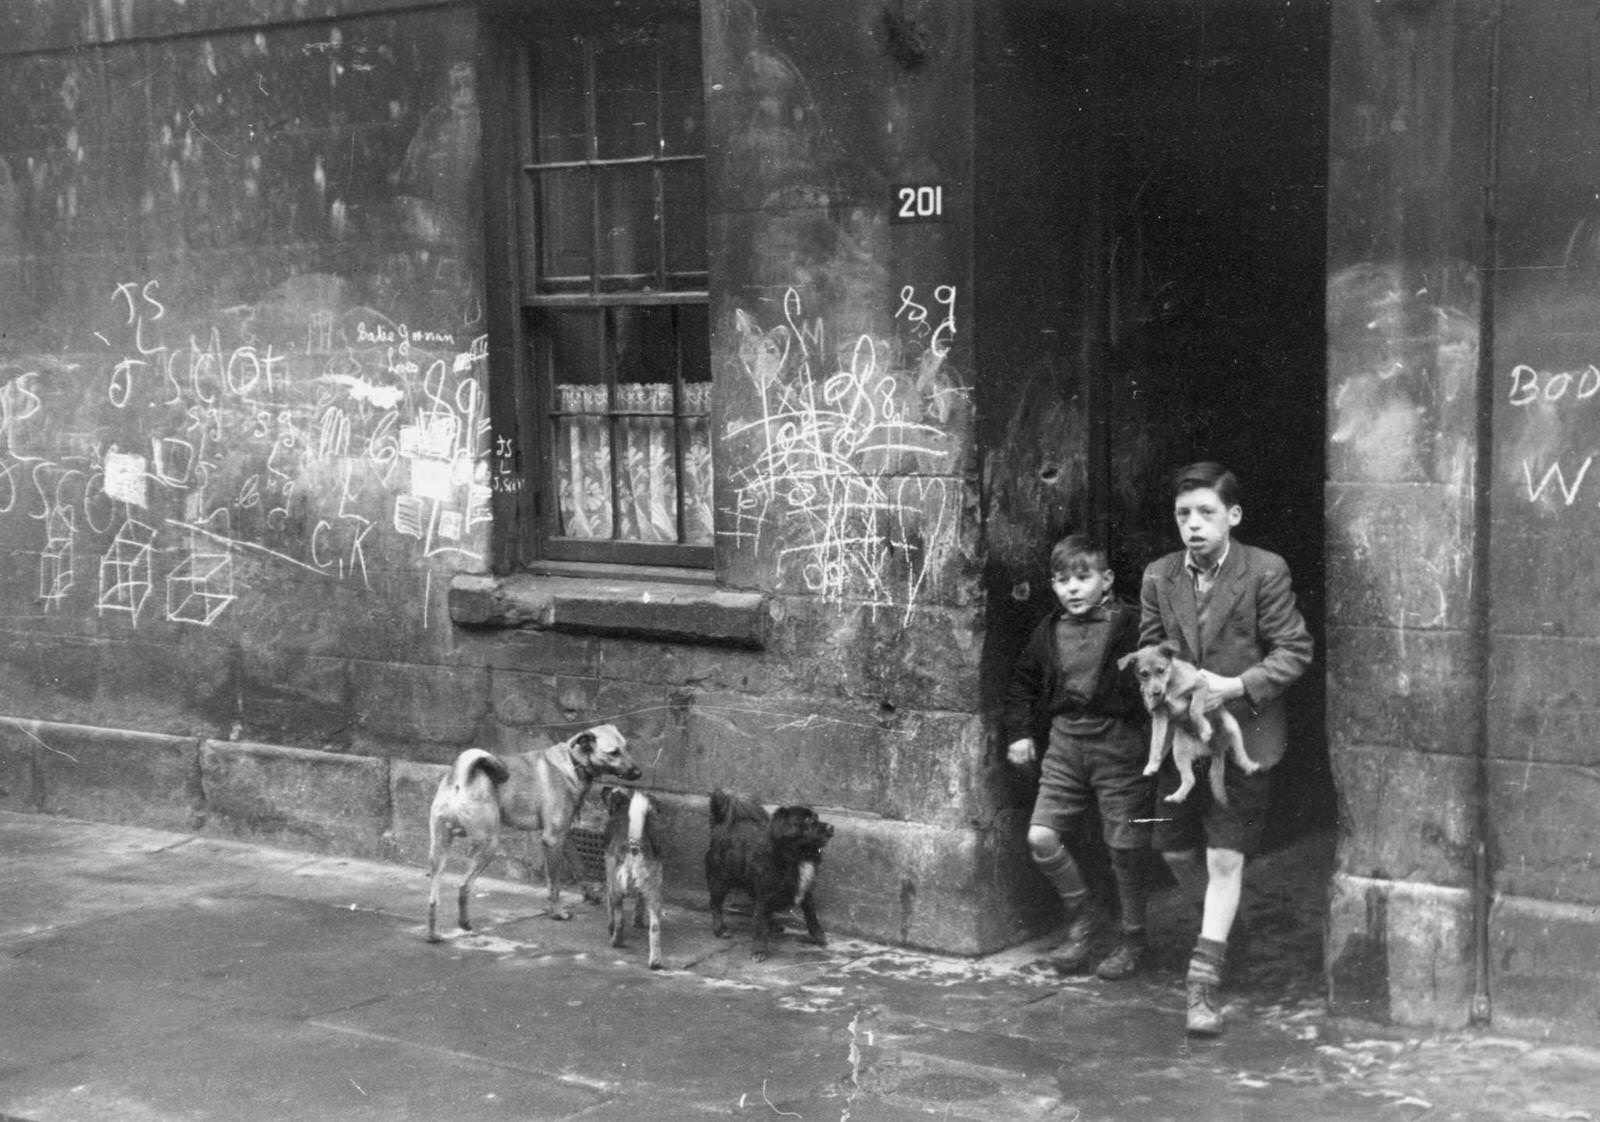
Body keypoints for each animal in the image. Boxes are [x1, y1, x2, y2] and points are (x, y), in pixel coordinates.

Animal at [435, 723, 646, 941]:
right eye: (613, 752)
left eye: (627, 747)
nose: (639, 773)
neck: (573, 762)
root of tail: (460, 778)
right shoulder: (553, 839)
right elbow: (554, 885)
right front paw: (557, 913)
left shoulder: (565, 836)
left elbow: (580, 867)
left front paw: (591, 894)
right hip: (488, 844)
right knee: (464, 885)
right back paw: (464, 923)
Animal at [710, 784, 838, 960]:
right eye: (807, 820)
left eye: (817, 817)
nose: (831, 827)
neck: (797, 857)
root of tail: (720, 824)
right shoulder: (764, 895)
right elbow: (759, 925)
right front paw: (759, 950)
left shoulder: (806, 891)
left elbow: (812, 916)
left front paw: (819, 937)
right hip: (719, 881)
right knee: (715, 905)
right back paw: (720, 930)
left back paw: (773, 925)